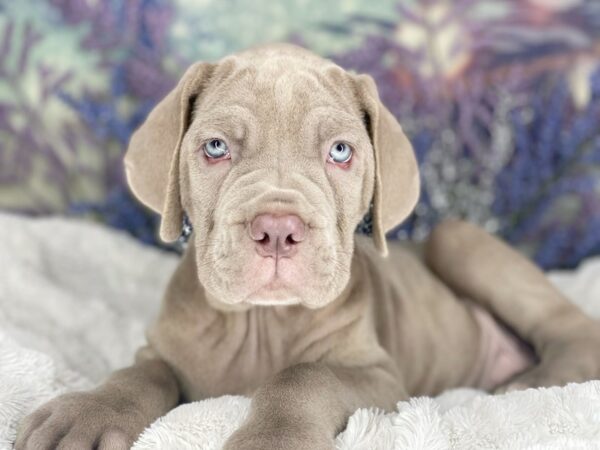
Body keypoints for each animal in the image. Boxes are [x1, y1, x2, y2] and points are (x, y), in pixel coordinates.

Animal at [14, 43, 600, 450]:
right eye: (215, 147)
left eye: (340, 152)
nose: (277, 229)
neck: (260, 323)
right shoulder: (164, 351)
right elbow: (137, 374)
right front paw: (85, 412)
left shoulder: (378, 376)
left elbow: (302, 375)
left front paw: (273, 439)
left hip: (458, 238)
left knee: (574, 329)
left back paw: (533, 381)